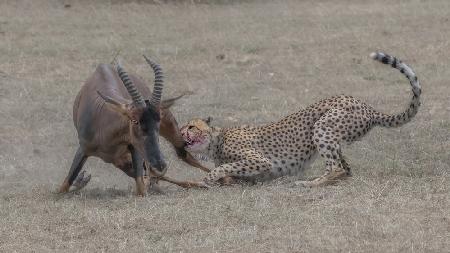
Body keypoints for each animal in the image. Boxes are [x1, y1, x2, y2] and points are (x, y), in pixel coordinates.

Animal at [160, 52, 420, 188]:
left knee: (336, 167)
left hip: (322, 126)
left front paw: (208, 178)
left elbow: (225, 166)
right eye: (181, 127)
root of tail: (367, 106)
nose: (181, 135)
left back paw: (309, 183)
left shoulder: (260, 161)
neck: (216, 141)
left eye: (191, 126)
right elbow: (232, 174)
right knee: (346, 170)